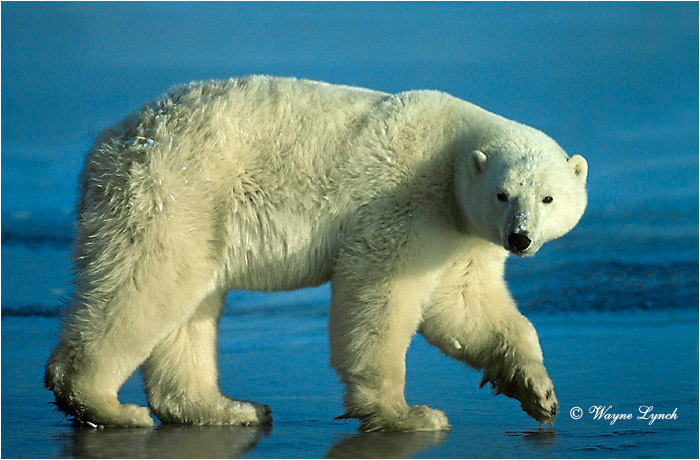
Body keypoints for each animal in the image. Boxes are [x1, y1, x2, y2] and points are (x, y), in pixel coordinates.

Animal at [45, 76, 588, 431]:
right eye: (503, 193)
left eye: (547, 197)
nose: (520, 238)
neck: (450, 157)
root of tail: (107, 148)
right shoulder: (405, 202)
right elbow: (381, 294)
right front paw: (408, 414)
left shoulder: (461, 235)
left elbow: (466, 306)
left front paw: (539, 391)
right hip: (177, 192)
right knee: (147, 282)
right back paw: (107, 406)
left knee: (189, 304)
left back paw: (227, 408)